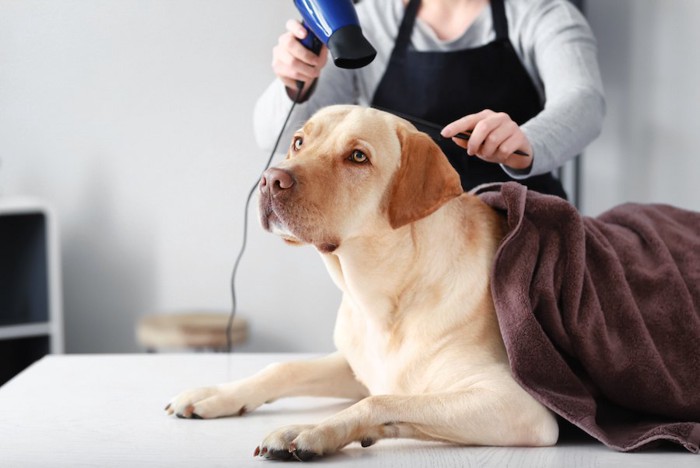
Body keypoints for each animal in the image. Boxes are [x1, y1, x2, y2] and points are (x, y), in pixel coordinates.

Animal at [163, 104, 556, 458]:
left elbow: (380, 401)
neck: (386, 295)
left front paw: (310, 430)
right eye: (298, 141)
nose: (271, 180)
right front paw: (218, 393)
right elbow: (285, 365)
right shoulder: (358, 364)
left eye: (357, 156)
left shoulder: (518, 404)